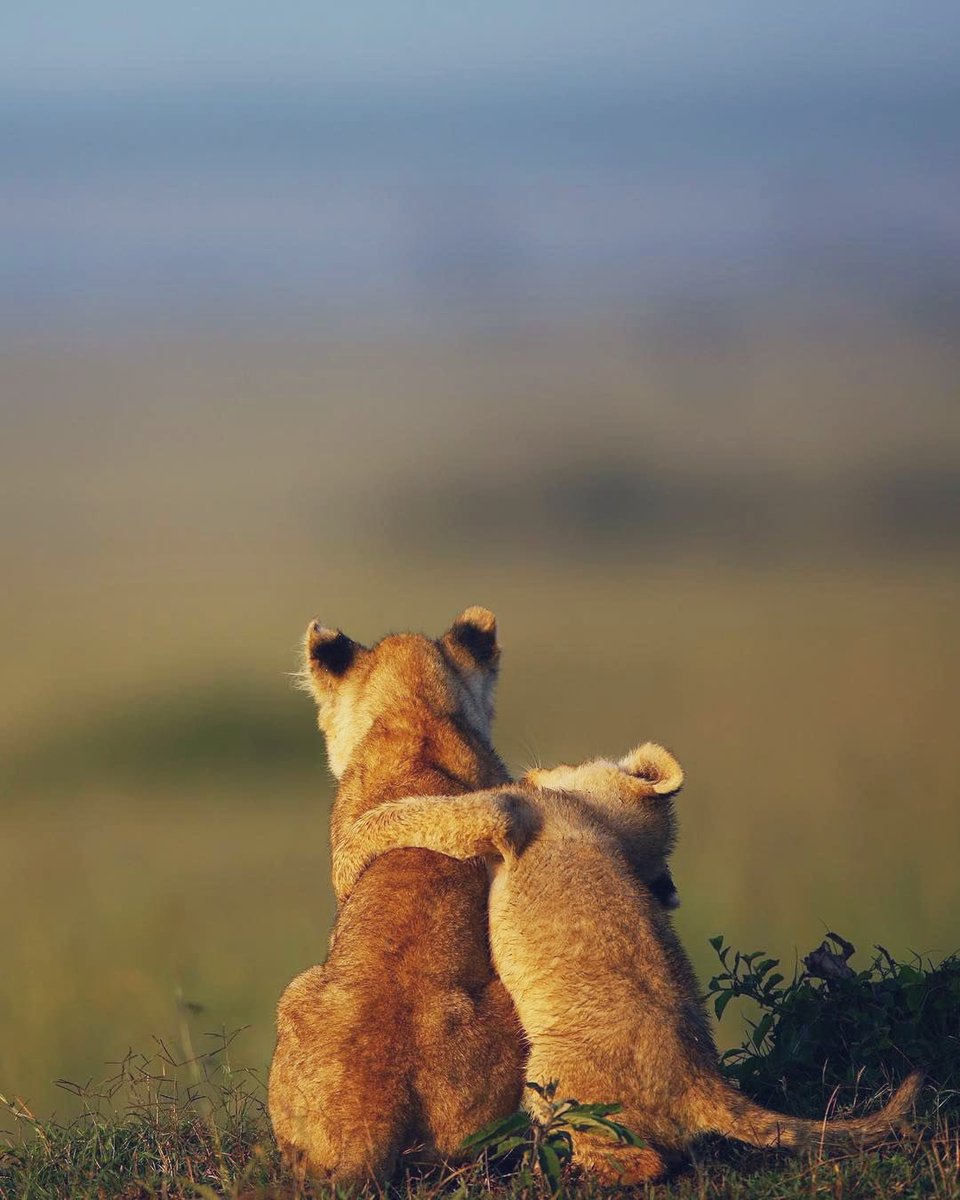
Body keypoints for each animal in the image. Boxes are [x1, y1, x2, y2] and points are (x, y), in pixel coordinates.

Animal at [333, 745, 922, 1184]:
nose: (540, 766)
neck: (603, 824)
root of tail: (700, 1080)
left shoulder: (511, 813)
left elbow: (419, 812)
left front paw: (352, 847)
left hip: (551, 1070)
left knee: (643, 1162)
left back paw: (555, 1170)